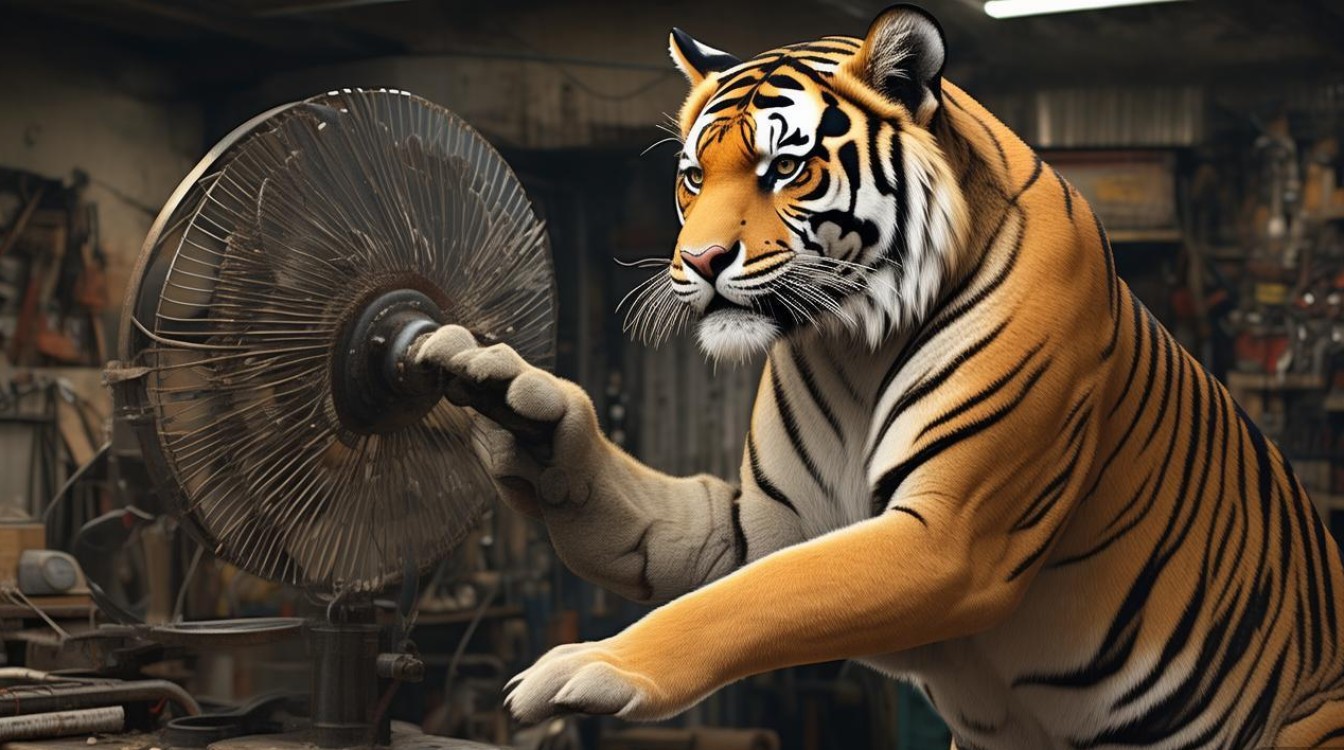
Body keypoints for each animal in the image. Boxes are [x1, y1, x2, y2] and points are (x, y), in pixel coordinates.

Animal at [413, 4, 1344, 747]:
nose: (699, 261)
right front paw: (515, 403)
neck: (853, 338)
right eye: (693, 177)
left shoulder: (950, 536)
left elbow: (753, 600)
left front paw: (586, 666)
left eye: (784, 168)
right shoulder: (763, 525)